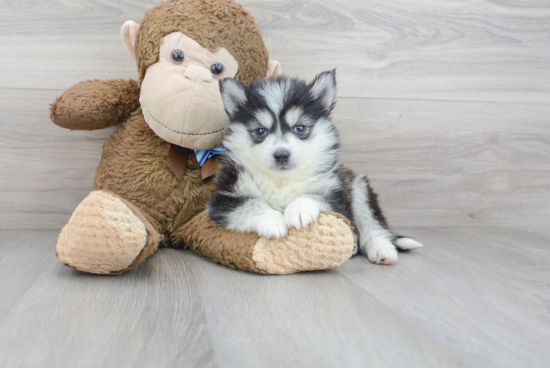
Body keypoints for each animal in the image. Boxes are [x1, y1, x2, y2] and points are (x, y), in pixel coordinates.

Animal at [209, 69, 424, 264]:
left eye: (300, 128)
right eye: (261, 131)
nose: (281, 155)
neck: (281, 180)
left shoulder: (337, 198)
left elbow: (313, 196)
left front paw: (299, 209)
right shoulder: (222, 199)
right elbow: (251, 203)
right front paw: (272, 219)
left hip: (358, 187)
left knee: (373, 225)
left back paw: (382, 250)